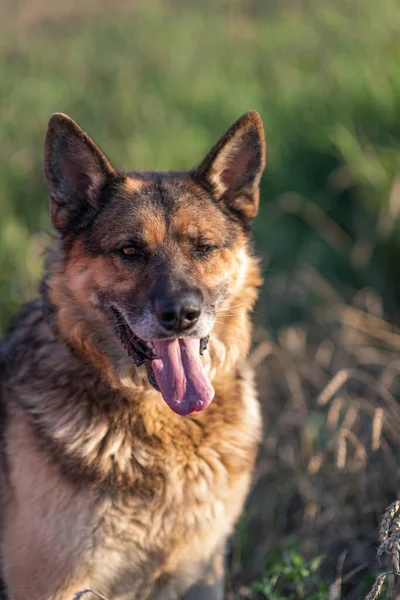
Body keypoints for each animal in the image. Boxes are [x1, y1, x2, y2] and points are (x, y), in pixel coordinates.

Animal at [0, 110, 266, 596]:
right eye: (129, 250)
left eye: (204, 247)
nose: (181, 315)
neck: (163, 426)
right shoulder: (48, 583)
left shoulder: (201, 573)